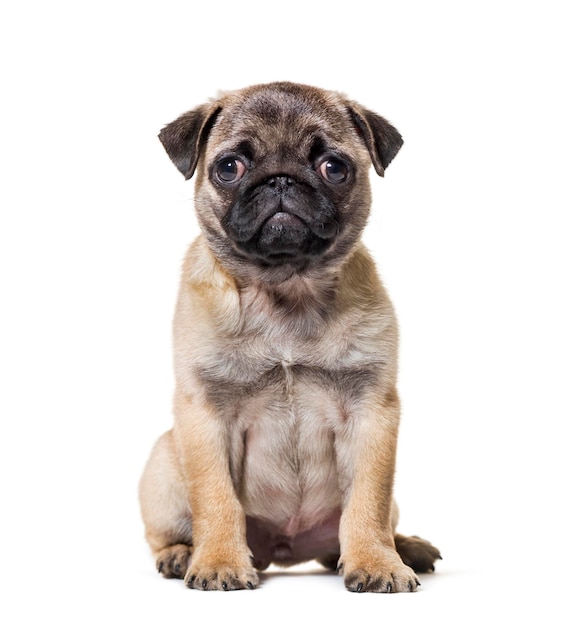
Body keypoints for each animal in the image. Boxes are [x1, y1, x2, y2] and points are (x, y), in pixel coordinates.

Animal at [138, 81, 440, 588]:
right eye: (229, 167)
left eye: (334, 167)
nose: (281, 180)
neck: (285, 289)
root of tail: (284, 550)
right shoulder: (205, 415)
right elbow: (216, 499)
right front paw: (219, 561)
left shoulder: (371, 415)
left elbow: (368, 502)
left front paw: (376, 562)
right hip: (164, 464)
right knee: (168, 531)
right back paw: (182, 555)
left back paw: (405, 548)